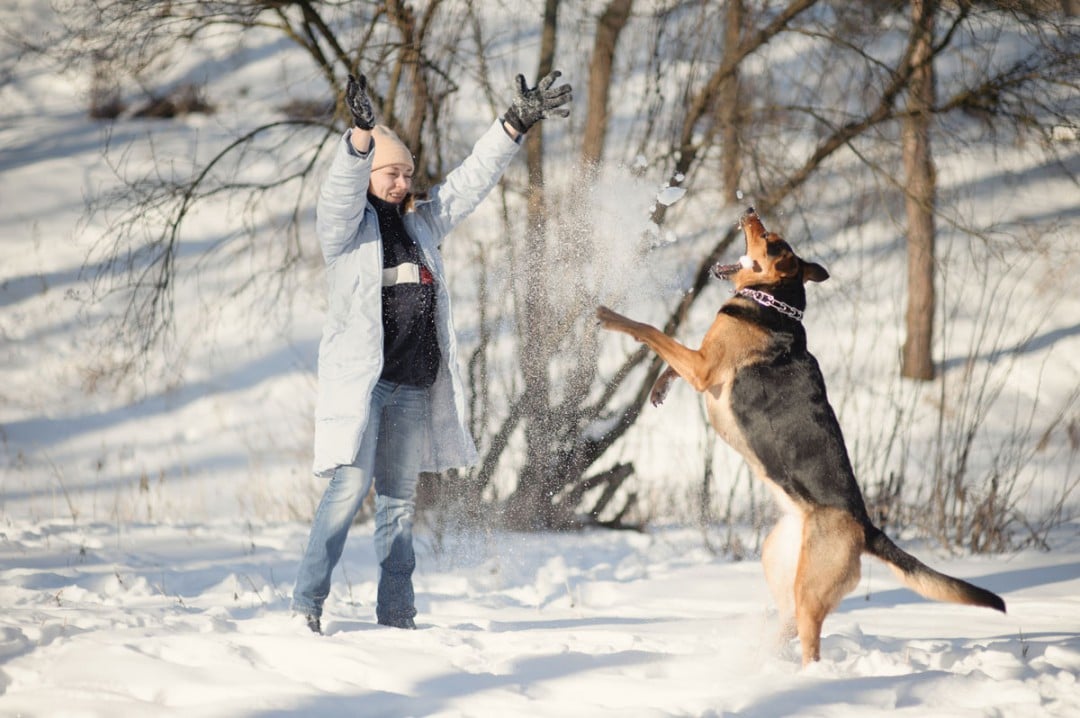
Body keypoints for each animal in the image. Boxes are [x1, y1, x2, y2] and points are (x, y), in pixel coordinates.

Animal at [591, 208, 1002, 665]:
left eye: (770, 240)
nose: (749, 210)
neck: (776, 302)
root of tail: (866, 527)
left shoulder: (702, 367)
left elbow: (650, 331)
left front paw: (610, 316)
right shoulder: (700, 363)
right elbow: (666, 358)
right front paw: (659, 388)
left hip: (810, 589)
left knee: (809, 639)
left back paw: (801, 675)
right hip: (777, 557)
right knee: (787, 621)